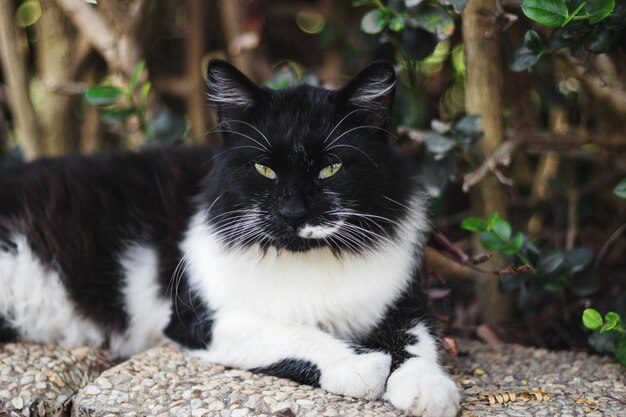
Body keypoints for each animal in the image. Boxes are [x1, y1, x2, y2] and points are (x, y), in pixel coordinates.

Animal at [0, 60, 458, 414]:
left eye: (330, 169)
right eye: (264, 170)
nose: (293, 213)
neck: (305, 257)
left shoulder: (402, 300)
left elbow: (418, 337)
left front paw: (428, 388)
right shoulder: (196, 321)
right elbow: (293, 332)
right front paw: (363, 367)